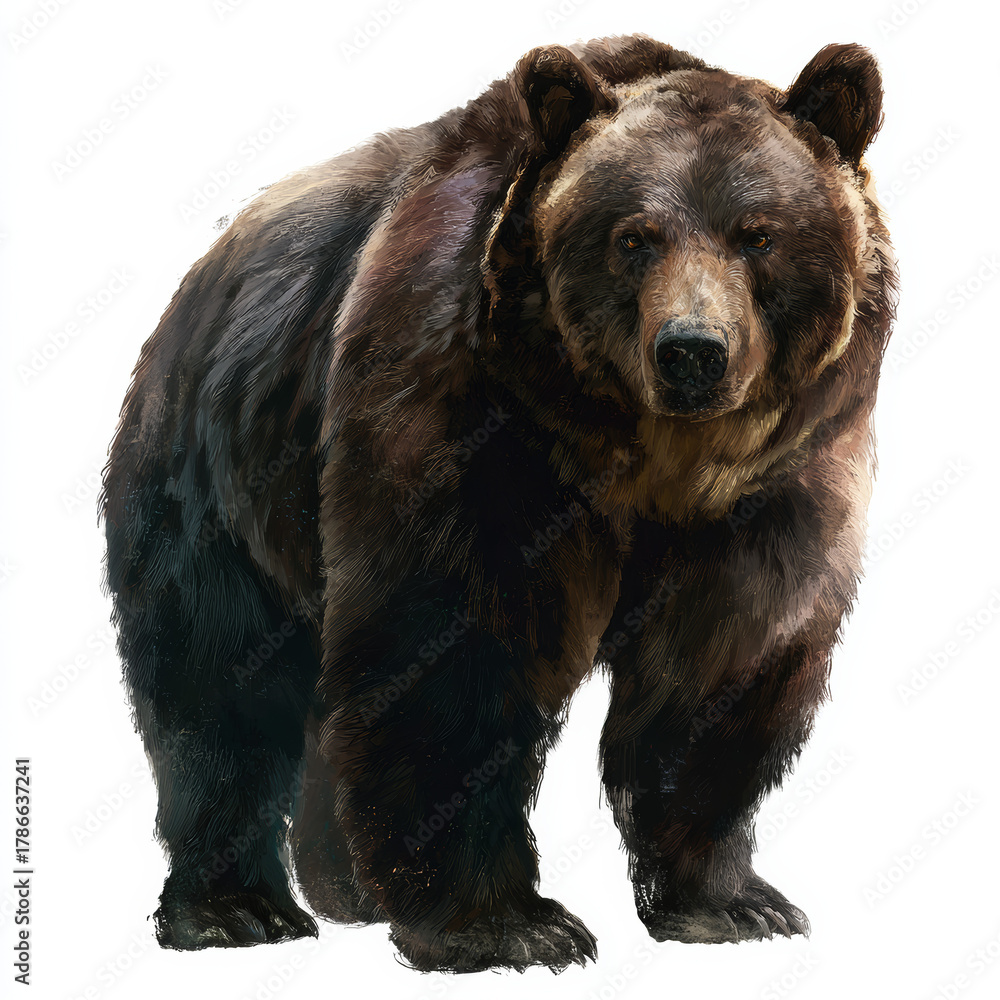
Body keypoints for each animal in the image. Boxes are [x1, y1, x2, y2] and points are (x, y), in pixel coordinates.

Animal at [100, 32, 897, 973]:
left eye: (759, 234)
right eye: (634, 237)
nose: (693, 351)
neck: (650, 458)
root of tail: (198, 279)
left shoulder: (771, 488)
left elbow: (723, 668)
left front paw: (731, 901)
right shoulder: (474, 419)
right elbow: (454, 650)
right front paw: (507, 924)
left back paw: (345, 889)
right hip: (220, 473)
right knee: (219, 679)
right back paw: (236, 908)